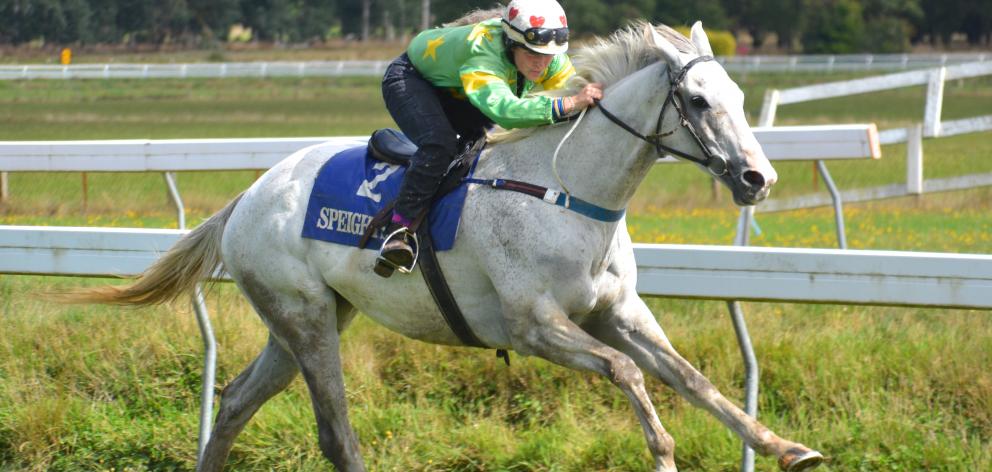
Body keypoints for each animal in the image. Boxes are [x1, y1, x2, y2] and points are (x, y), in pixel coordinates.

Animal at [75, 21, 820, 472]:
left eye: (737, 94)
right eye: (697, 101)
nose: (759, 178)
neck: (568, 190)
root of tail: (251, 194)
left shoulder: (620, 312)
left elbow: (692, 378)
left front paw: (785, 447)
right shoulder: (532, 327)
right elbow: (626, 372)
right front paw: (662, 451)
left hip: (306, 319)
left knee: (233, 403)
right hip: (305, 317)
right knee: (335, 433)